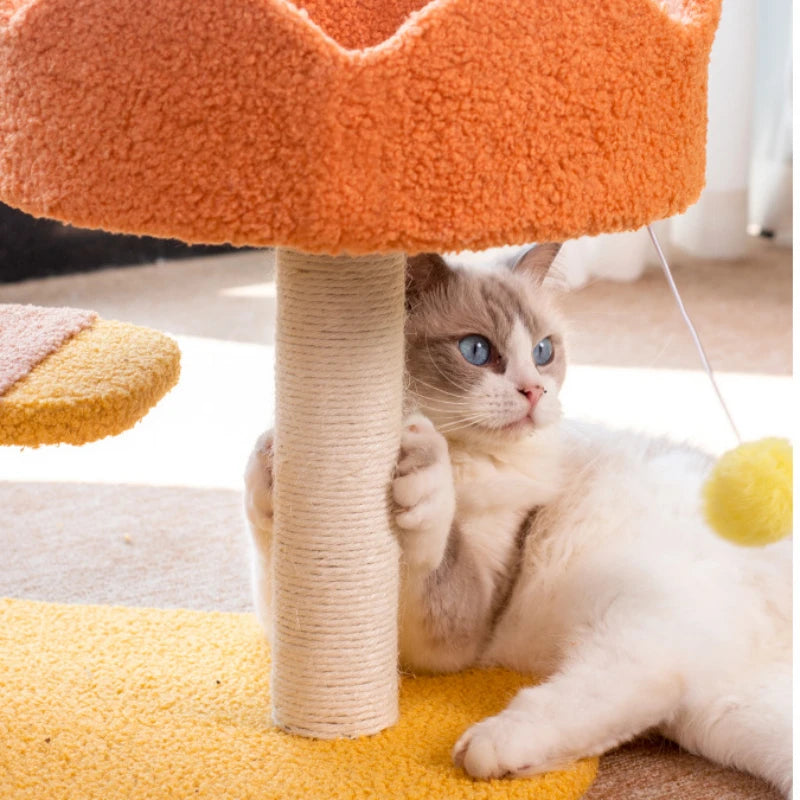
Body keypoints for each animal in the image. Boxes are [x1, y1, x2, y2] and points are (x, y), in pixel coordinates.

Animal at [245, 247, 792, 796]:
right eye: (476, 350)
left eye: (543, 351)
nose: (534, 392)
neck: (467, 458)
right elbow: (270, 557)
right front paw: (271, 466)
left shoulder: (463, 632)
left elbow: (436, 548)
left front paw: (422, 464)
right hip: (735, 711)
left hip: (647, 604)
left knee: (634, 677)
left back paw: (490, 746)